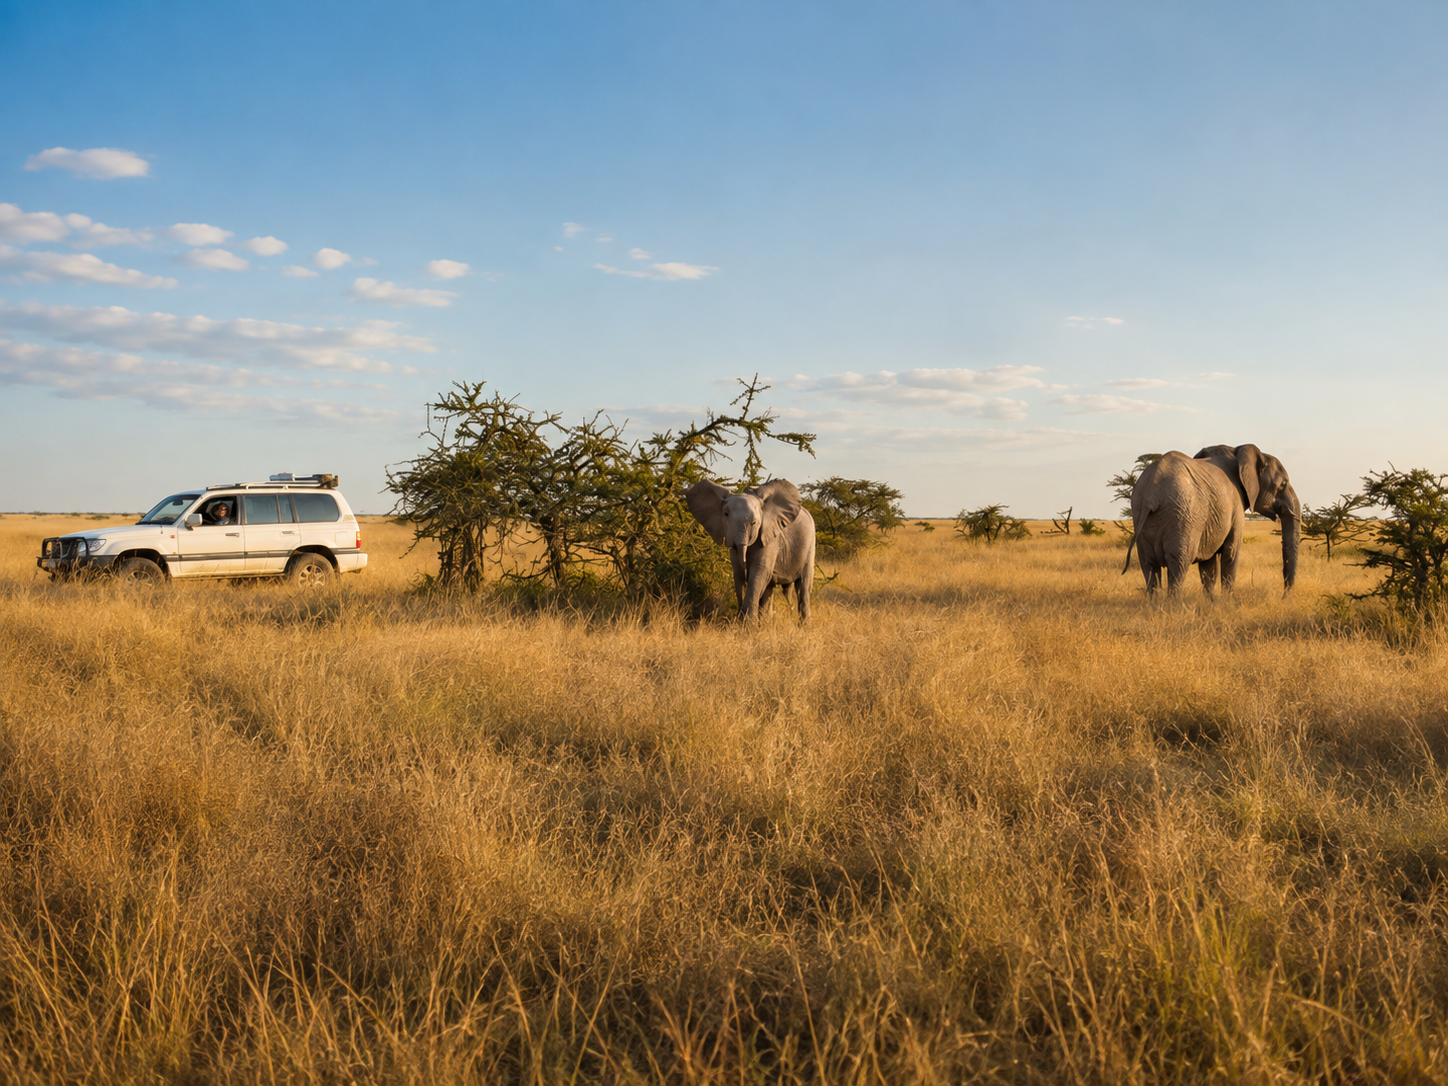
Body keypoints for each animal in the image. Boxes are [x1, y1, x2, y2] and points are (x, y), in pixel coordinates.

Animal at [685, 478, 815, 623]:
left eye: (754, 523)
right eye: (726, 514)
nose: (738, 614)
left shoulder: (769, 538)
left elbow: (759, 573)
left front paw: (747, 625)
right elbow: (738, 574)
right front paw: (744, 622)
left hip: (810, 545)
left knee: (803, 586)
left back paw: (804, 626)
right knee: (769, 589)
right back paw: (765, 623)